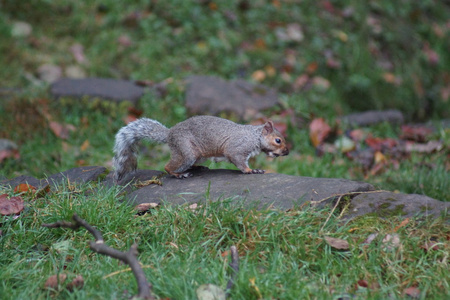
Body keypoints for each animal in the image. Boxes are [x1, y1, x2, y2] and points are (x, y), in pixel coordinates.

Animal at [112, 115, 288, 182]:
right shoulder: (238, 147)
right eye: (278, 140)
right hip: (186, 151)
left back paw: (198, 168)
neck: (255, 136)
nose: (287, 152)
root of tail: (169, 134)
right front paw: (251, 170)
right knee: (168, 167)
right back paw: (178, 174)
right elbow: (238, 160)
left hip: (197, 155)